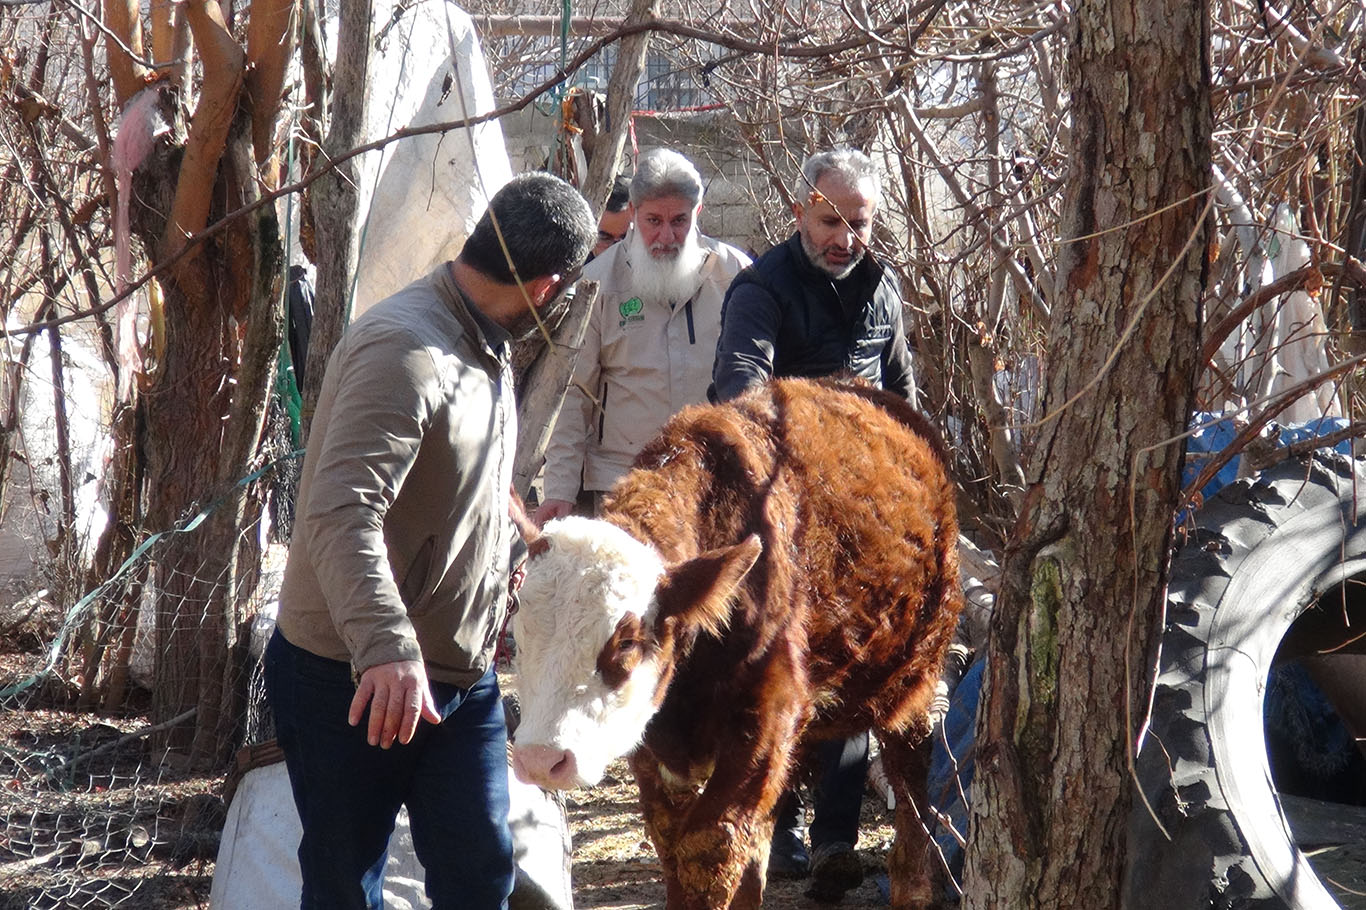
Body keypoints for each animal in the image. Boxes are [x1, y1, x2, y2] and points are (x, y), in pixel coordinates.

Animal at [510, 377, 961, 907]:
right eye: (518, 633)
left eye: (625, 643)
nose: (541, 759)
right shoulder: (653, 742)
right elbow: (675, 841)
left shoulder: (768, 717)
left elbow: (710, 844)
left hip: (915, 668)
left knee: (910, 766)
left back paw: (913, 884)